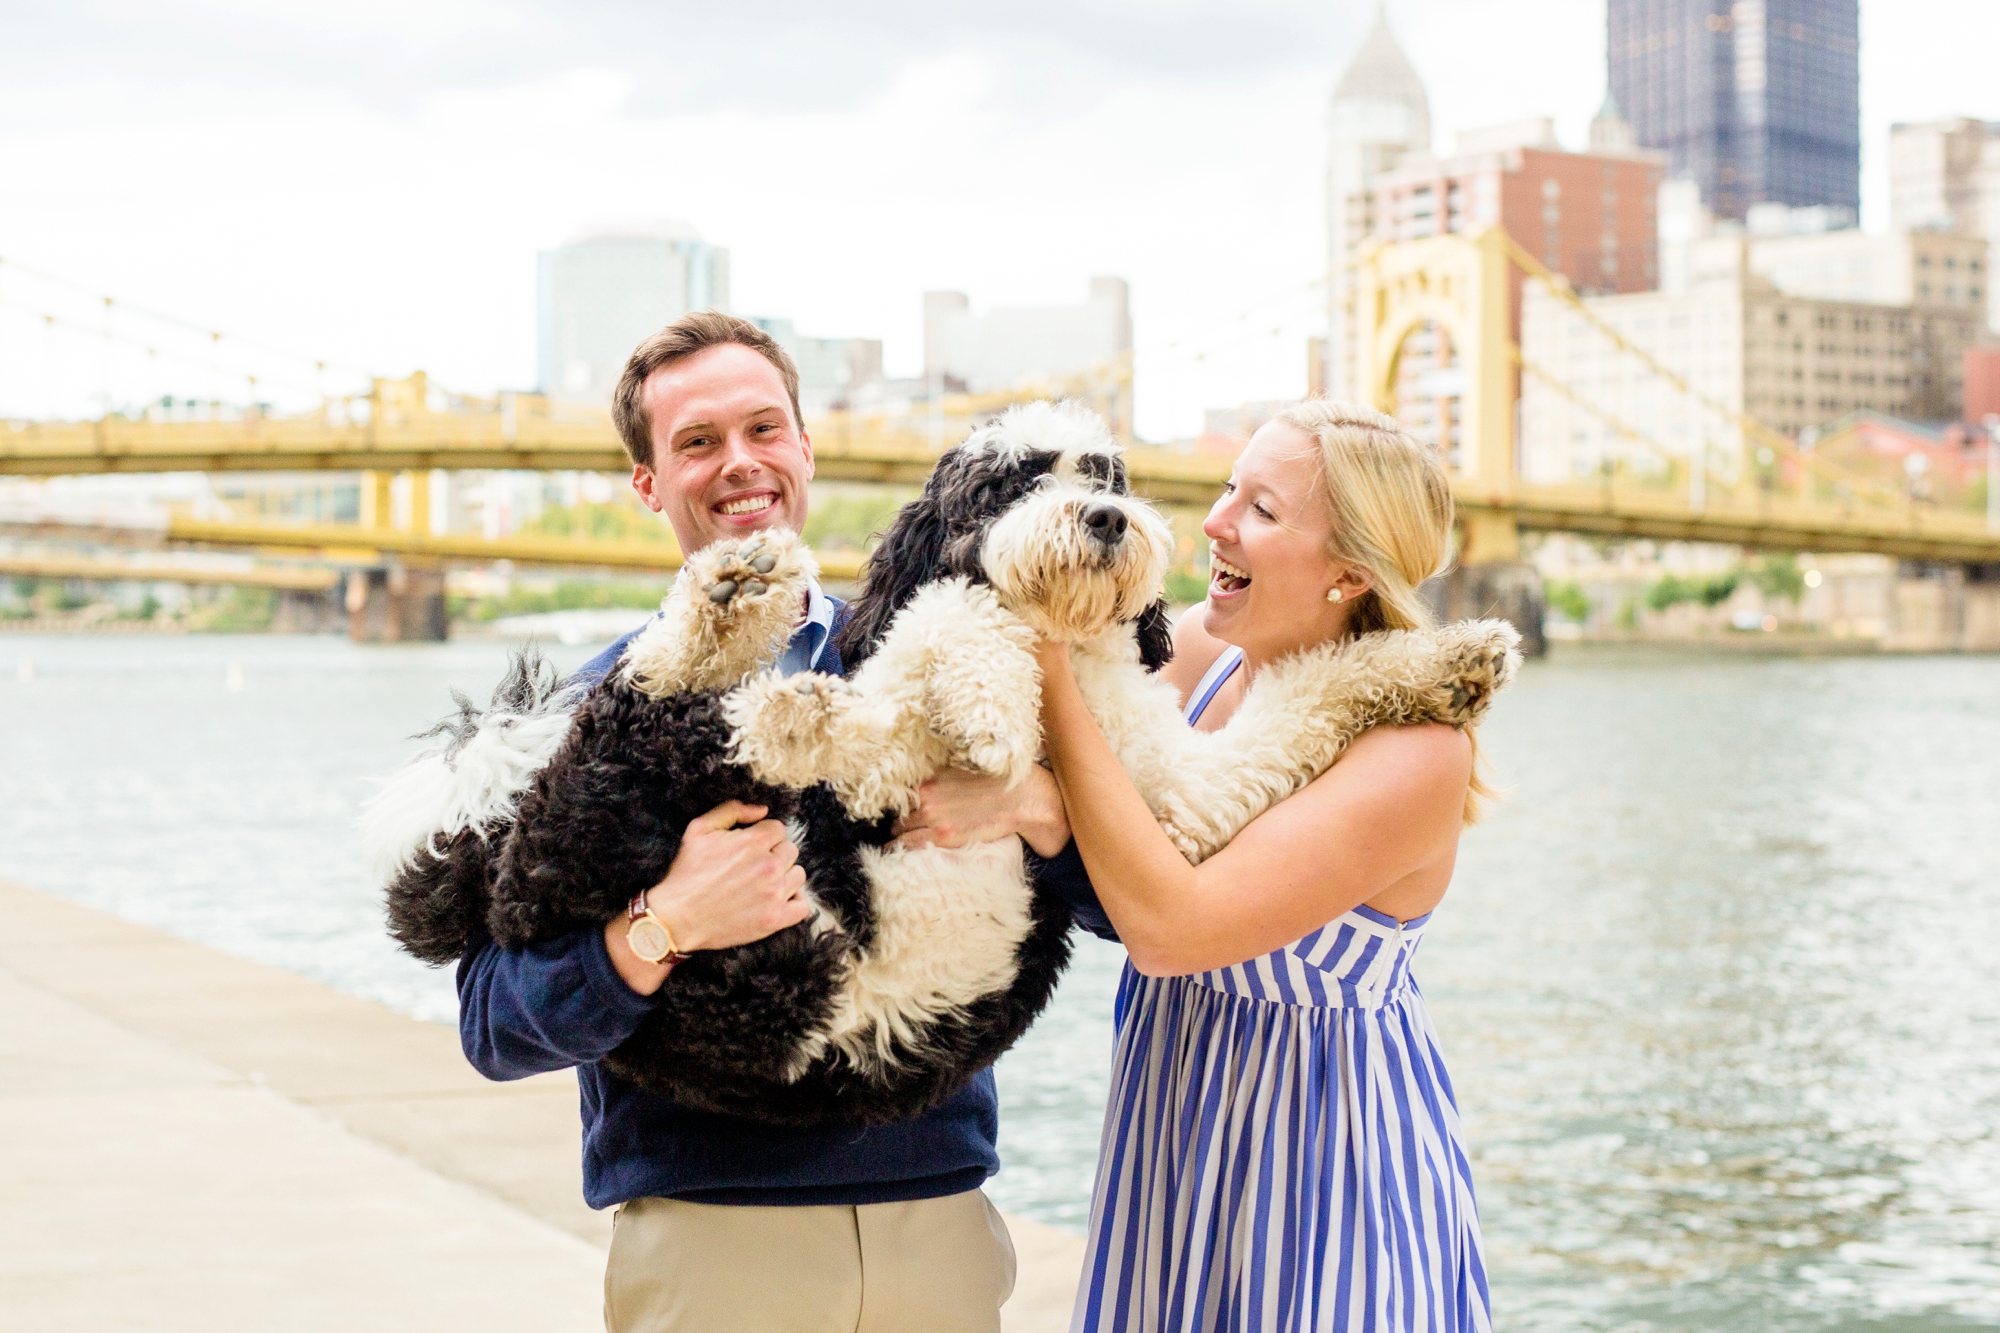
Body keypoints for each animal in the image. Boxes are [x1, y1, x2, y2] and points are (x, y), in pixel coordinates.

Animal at [368, 402, 1512, 1120]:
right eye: (1009, 483)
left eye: (1104, 474)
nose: (1106, 516)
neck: (1061, 652)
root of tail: (488, 888)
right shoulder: (916, 724)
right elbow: (953, 610)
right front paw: (990, 698)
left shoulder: (1176, 801)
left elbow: (1316, 683)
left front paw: (1454, 662)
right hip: (680, 864)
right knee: (627, 723)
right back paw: (737, 611)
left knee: (659, 720)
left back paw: (752, 639)